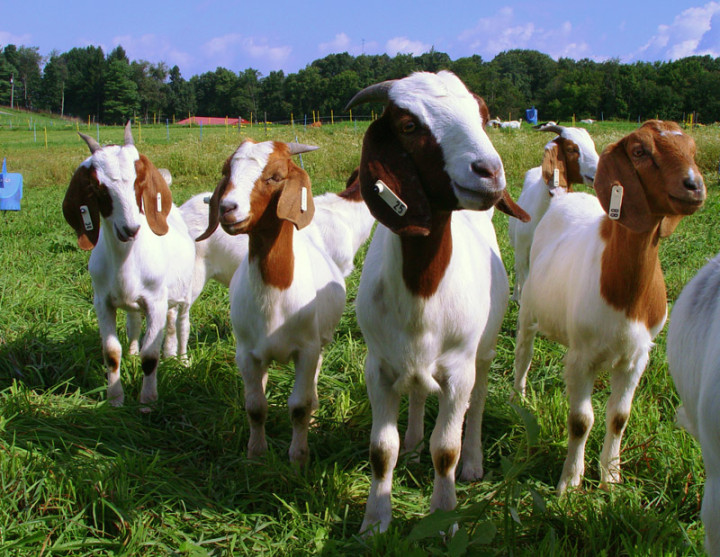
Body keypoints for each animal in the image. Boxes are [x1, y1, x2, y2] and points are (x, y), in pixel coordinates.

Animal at [62, 122, 195, 408]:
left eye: (139, 181)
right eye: (97, 187)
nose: (130, 229)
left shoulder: (156, 301)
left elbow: (151, 354)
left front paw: (147, 400)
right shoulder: (102, 302)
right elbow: (111, 352)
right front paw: (115, 399)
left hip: (184, 294)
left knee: (181, 323)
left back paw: (181, 359)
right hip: (136, 303)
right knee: (138, 323)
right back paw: (138, 352)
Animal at [197, 140, 351, 465]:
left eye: (276, 176)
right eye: (226, 170)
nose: (227, 208)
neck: (275, 297)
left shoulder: (307, 349)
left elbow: (299, 406)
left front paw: (298, 457)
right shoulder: (246, 352)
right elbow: (255, 406)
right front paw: (256, 454)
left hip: (321, 343)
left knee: (312, 385)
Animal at [345, 70, 529, 534]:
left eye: (483, 116)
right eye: (409, 125)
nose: (489, 171)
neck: (422, 294)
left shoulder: (458, 370)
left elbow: (445, 448)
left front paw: (445, 517)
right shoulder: (378, 367)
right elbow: (381, 450)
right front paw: (375, 521)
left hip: (484, 352)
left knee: (477, 404)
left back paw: (474, 463)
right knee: (415, 394)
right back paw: (412, 442)